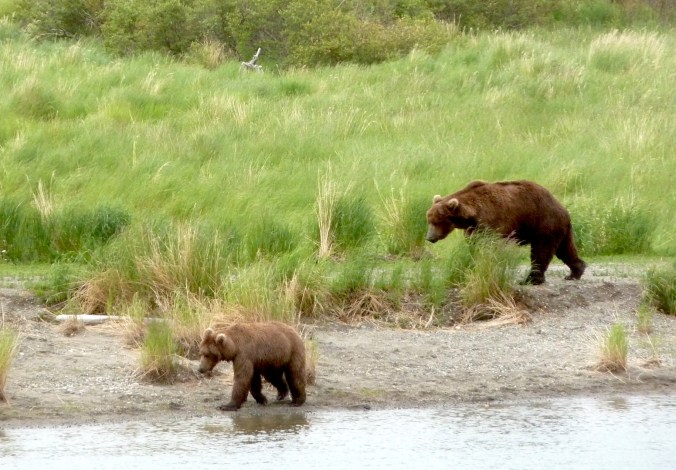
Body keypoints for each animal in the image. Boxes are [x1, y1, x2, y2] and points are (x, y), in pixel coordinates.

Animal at [426, 180, 585, 285]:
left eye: (437, 221)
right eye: (429, 220)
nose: (429, 237)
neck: (473, 215)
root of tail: (563, 209)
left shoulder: (495, 221)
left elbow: (492, 246)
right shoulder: (474, 229)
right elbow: (474, 245)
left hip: (543, 224)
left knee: (541, 251)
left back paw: (531, 279)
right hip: (559, 228)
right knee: (565, 249)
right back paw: (575, 272)